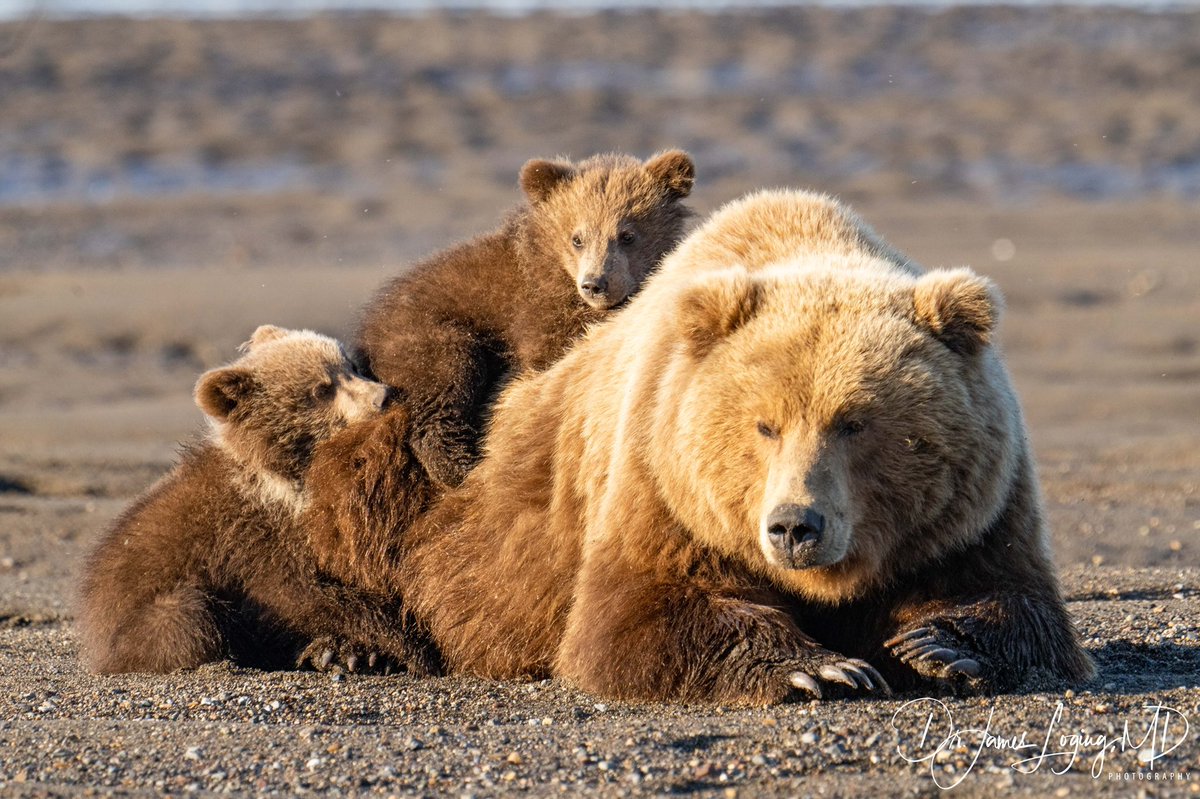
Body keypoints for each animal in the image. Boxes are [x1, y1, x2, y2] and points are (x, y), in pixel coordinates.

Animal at [76, 325, 439, 675]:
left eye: (349, 365)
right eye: (321, 389)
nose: (383, 396)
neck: (286, 477)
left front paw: (368, 652)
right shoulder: (250, 536)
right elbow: (295, 595)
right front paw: (407, 647)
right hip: (149, 608)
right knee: (189, 618)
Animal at [329, 189, 1094, 705]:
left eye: (855, 422)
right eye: (765, 425)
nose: (794, 525)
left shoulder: (977, 506)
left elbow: (1019, 601)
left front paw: (933, 642)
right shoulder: (663, 479)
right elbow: (635, 615)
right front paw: (819, 665)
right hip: (415, 481)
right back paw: (352, 646)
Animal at [354, 149, 695, 491]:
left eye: (627, 235)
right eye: (577, 238)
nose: (595, 283)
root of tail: (367, 330)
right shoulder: (535, 304)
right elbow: (551, 344)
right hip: (420, 331)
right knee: (448, 373)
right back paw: (461, 466)